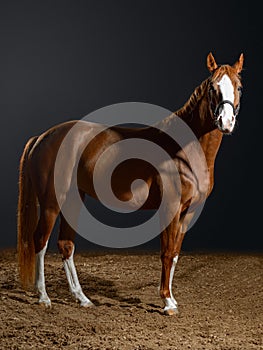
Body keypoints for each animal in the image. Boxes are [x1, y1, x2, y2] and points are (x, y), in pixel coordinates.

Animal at [17, 52, 244, 318]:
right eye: (212, 87)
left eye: (239, 86)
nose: (226, 122)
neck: (183, 150)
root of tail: (43, 136)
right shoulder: (171, 208)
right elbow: (167, 252)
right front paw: (167, 302)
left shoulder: (189, 212)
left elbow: (176, 254)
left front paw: (172, 299)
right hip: (52, 202)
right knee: (40, 241)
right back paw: (44, 297)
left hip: (73, 200)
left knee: (66, 245)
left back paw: (82, 298)